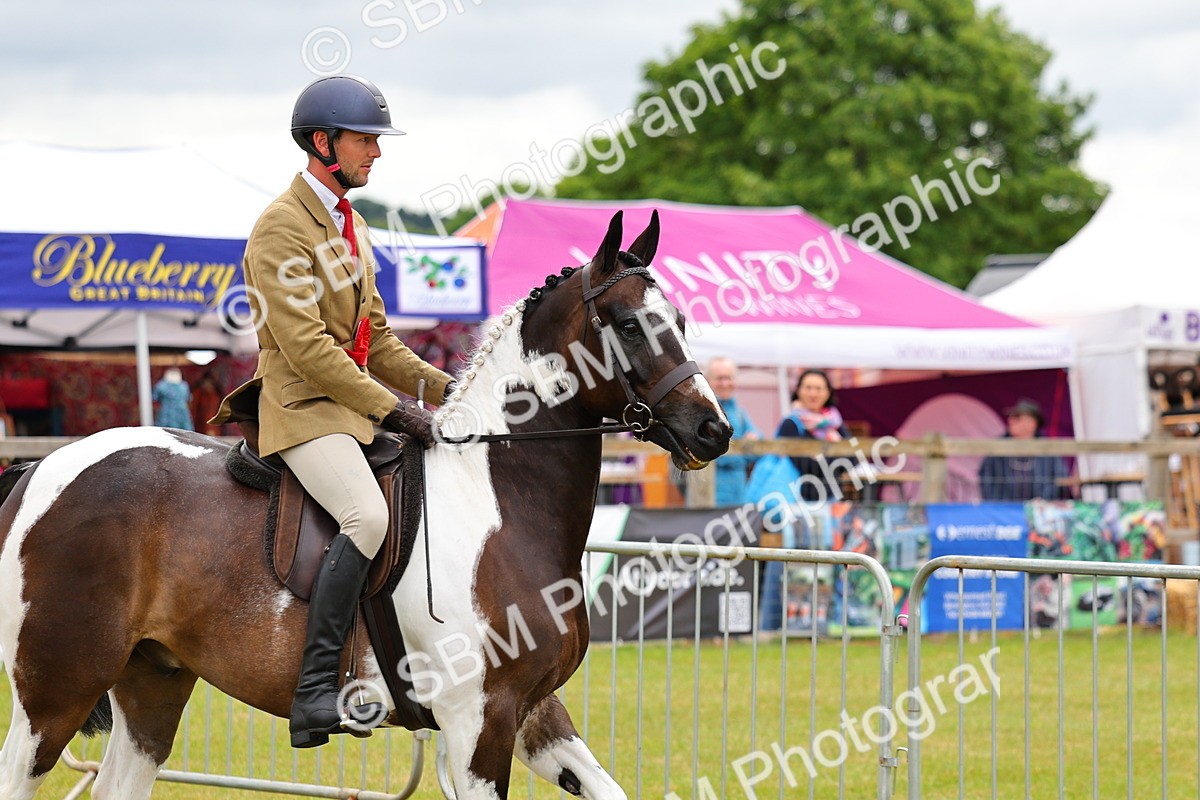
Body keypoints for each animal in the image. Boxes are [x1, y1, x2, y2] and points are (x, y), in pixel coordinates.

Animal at [0, 209, 732, 800]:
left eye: (681, 321)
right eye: (630, 324)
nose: (712, 431)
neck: (497, 502)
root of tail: (39, 467)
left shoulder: (533, 712)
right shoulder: (478, 720)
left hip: (151, 682)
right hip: (54, 692)